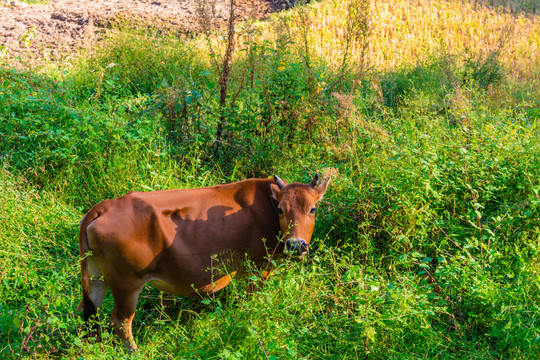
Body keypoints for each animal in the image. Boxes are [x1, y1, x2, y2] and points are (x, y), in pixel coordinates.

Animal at [76, 174, 330, 352]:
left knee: (86, 314)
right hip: (127, 284)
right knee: (120, 322)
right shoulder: (258, 268)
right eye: (280, 209)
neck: (266, 205)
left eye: (312, 209)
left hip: (95, 277)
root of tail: (100, 208)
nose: (296, 245)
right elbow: (251, 306)